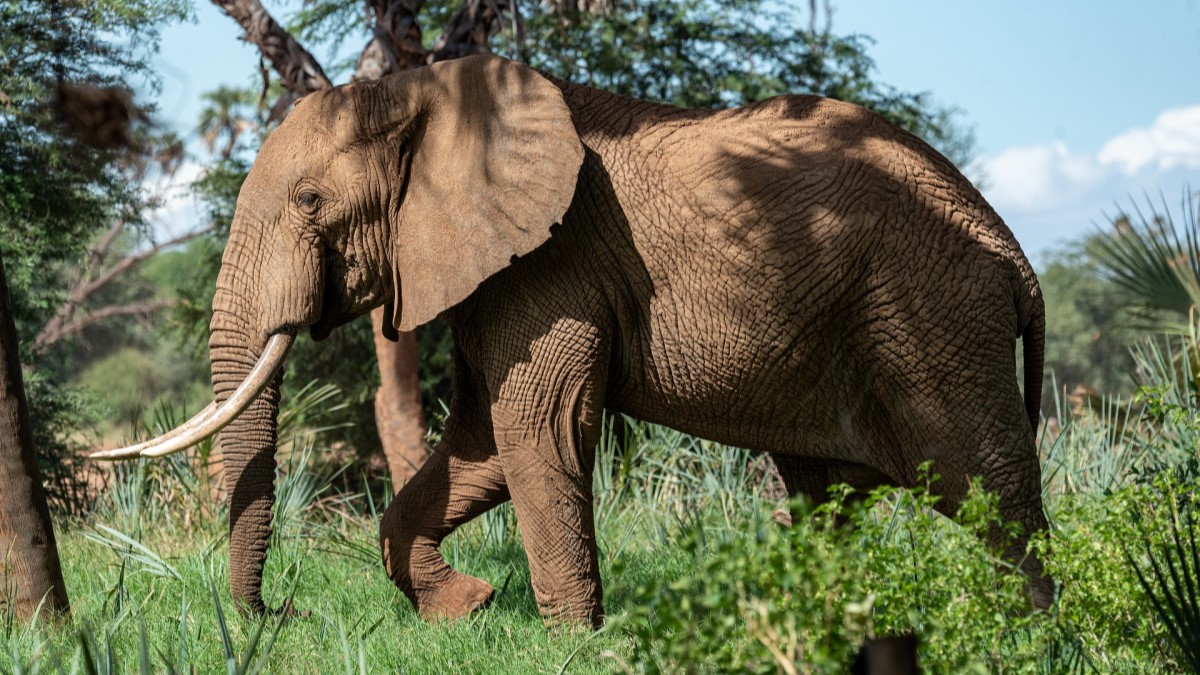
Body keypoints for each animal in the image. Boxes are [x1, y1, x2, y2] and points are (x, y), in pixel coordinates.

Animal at [94, 54, 1051, 626]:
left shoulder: (552, 263)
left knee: (990, 490)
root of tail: (1014, 251)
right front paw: (467, 607)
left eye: (308, 202)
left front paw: (571, 642)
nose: (282, 615)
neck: (424, 91)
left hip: (933, 315)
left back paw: (1033, 635)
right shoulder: (497, 270)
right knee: (830, 496)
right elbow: (481, 444)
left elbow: (537, 429)